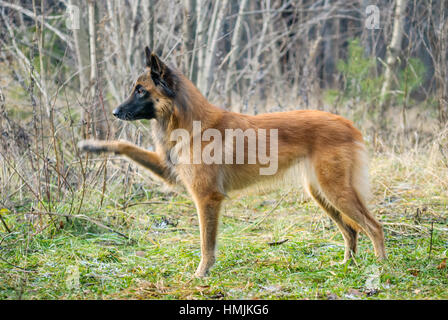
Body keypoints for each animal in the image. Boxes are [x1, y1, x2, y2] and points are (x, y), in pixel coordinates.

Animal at [79, 47, 386, 278]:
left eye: (141, 90)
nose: (115, 112)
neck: (191, 124)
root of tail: (348, 124)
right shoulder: (169, 171)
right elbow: (125, 145)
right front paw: (93, 145)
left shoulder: (207, 198)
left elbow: (207, 244)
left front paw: (201, 274)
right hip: (320, 193)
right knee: (351, 230)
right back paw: (347, 266)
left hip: (336, 191)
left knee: (374, 227)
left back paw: (381, 268)